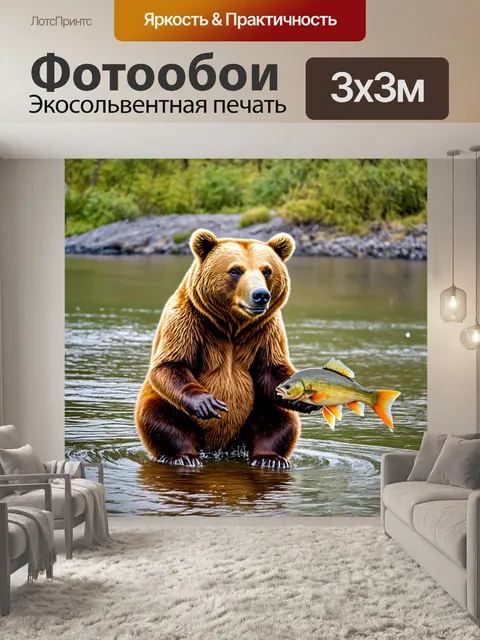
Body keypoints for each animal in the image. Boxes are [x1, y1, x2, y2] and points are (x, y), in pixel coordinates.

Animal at [134, 228, 319, 469]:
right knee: (160, 419)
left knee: (278, 420)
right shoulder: (187, 321)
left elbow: (270, 369)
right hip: (167, 404)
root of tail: (219, 446)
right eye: (235, 270)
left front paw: (304, 399)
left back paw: (270, 458)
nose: (261, 295)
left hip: (257, 408)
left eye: (267, 270)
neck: (233, 326)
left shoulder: (266, 331)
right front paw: (207, 403)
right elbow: (171, 364)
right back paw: (182, 456)